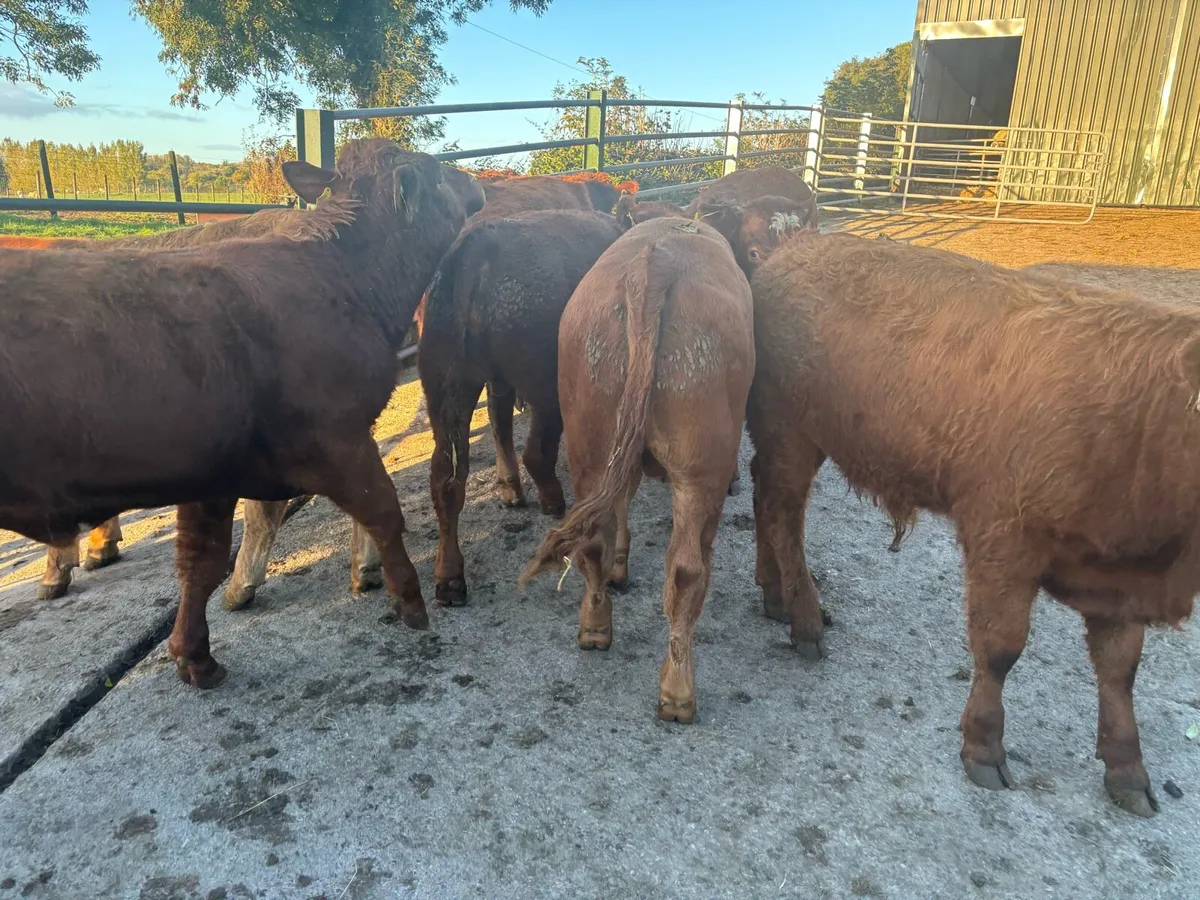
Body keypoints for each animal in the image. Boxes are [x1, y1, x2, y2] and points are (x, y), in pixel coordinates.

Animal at [0, 139, 483, 688]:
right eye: (436, 172)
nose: (475, 182)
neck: (340, 277)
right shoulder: (336, 437)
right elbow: (383, 511)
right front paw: (411, 598)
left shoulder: (211, 472)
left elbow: (200, 560)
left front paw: (194, 654)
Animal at [418, 208, 631, 608]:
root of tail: (472, 255)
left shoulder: (498, 381)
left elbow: (498, 422)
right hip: (544, 380)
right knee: (536, 451)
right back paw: (552, 499)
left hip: (446, 386)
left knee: (446, 478)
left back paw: (450, 578)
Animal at [519, 216, 755, 723]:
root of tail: (654, 263)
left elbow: (620, 504)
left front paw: (621, 565)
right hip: (700, 467)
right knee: (687, 569)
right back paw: (678, 690)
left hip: (590, 434)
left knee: (590, 541)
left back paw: (594, 627)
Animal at [745, 231, 1200, 818]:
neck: (1139, 420)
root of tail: (791, 249)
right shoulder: (1002, 542)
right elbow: (1001, 647)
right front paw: (984, 747)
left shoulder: (1119, 578)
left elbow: (1121, 668)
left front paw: (1128, 771)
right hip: (790, 432)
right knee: (784, 516)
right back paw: (803, 618)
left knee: (764, 499)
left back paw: (775, 595)